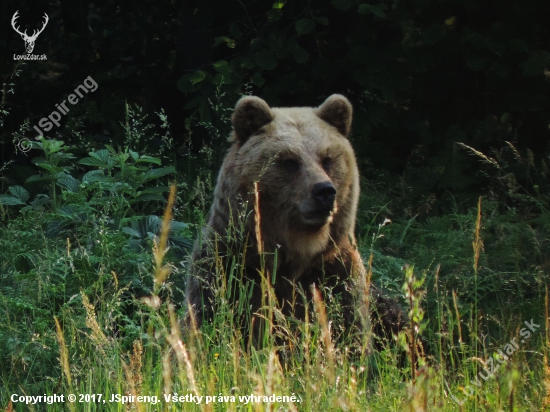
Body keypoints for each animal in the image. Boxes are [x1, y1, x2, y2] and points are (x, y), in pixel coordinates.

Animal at [187, 95, 406, 342]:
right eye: (290, 161)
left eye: (327, 159)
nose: (324, 191)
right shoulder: (230, 268)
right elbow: (210, 317)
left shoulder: (336, 275)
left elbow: (351, 329)